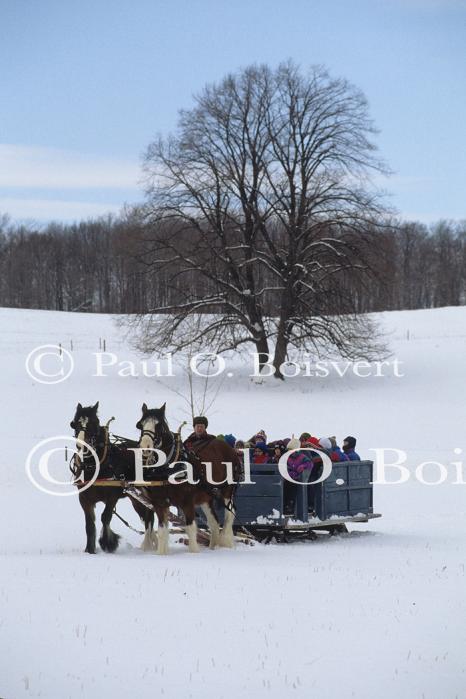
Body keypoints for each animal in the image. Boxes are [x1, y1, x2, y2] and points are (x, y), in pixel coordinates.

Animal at [132, 402, 238, 556]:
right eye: (140, 425)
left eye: (159, 425)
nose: (145, 448)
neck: (168, 467)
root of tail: (227, 447)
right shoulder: (159, 503)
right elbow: (162, 531)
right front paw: (161, 554)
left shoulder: (187, 502)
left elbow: (191, 528)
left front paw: (194, 552)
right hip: (206, 497)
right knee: (214, 523)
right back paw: (213, 548)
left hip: (227, 491)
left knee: (229, 517)